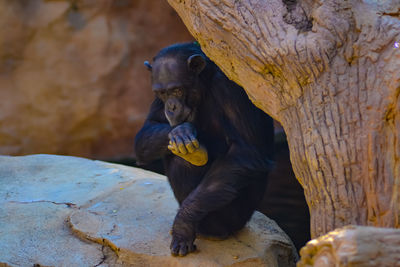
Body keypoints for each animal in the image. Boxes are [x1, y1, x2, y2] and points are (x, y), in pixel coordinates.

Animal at [135, 42, 276, 258]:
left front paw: (183, 224)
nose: (171, 107)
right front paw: (181, 131)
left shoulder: (229, 87)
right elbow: (145, 132)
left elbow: (246, 152)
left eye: (177, 90)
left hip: (235, 217)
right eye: (163, 93)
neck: (205, 83)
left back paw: (209, 231)